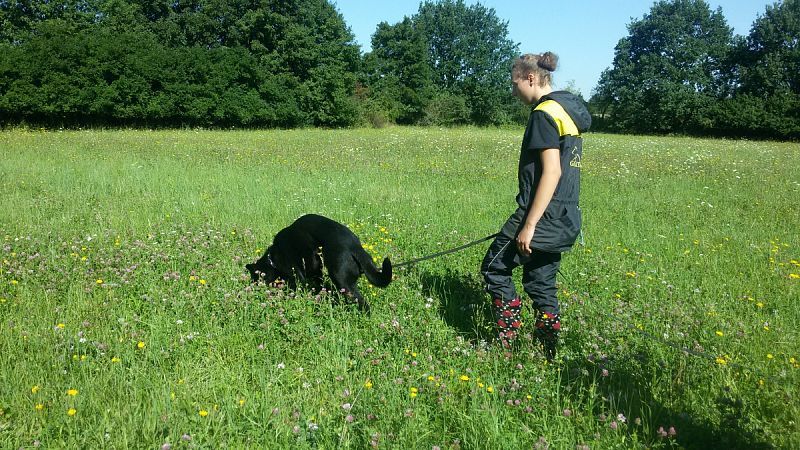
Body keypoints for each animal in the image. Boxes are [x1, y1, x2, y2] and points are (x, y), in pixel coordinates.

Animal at [245, 214, 392, 312]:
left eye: (255, 278)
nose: (252, 289)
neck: (272, 258)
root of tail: (355, 247)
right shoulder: (316, 269)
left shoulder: (297, 275)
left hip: (341, 279)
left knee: (362, 302)